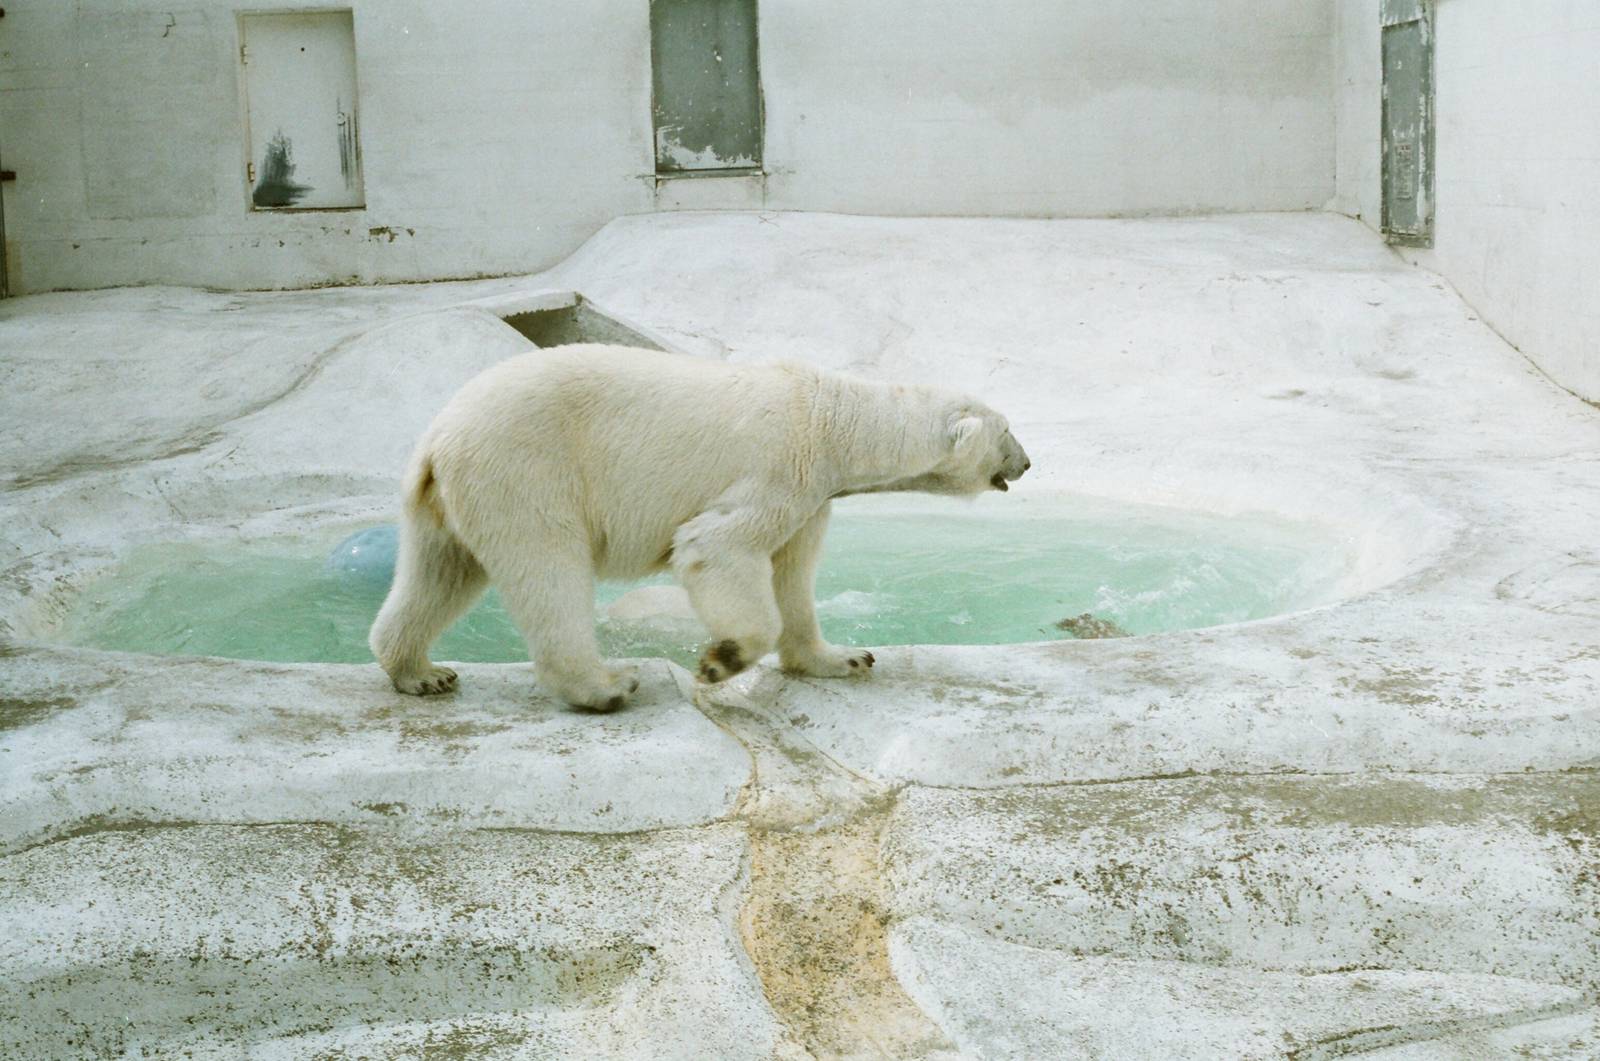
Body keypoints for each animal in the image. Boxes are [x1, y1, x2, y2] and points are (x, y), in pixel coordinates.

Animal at [369, 344, 1030, 710]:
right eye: (1008, 430)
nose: (1027, 462)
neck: (833, 422)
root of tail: (437, 435)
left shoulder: (811, 495)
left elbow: (793, 574)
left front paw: (844, 657)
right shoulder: (777, 469)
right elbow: (715, 546)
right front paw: (721, 660)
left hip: (449, 498)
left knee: (440, 571)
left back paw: (421, 672)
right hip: (526, 468)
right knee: (548, 568)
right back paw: (605, 686)